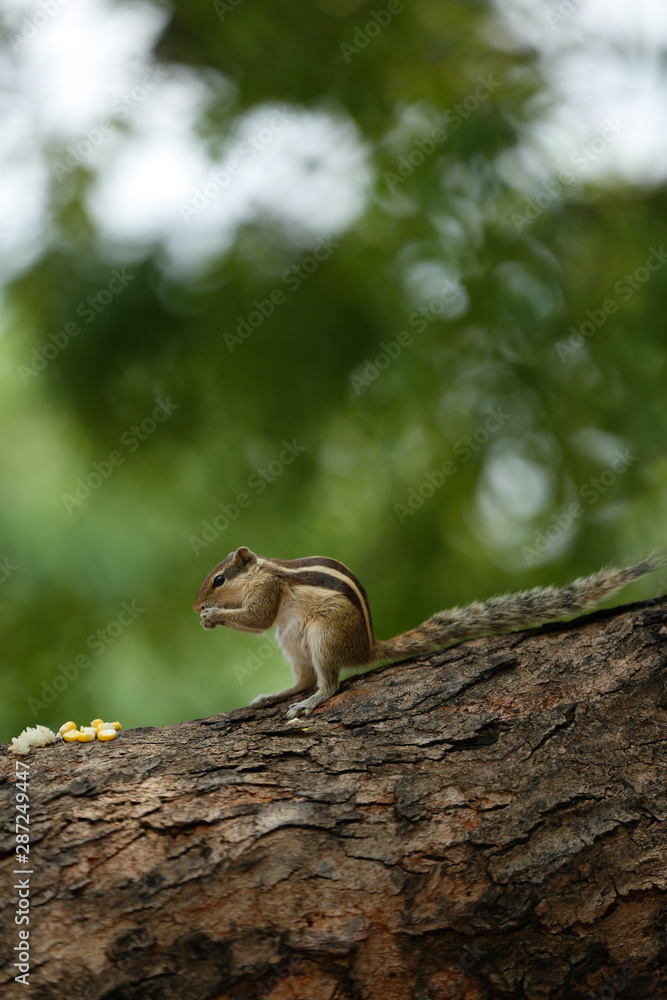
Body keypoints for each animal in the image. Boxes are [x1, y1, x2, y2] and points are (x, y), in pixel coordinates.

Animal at [193, 547, 666, 719]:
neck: (264, 570)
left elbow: (257, 617)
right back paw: (276, 695)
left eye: (218, 579)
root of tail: (366, 646)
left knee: (327, 684)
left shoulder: (268, 591)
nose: (196, 605)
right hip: (293, 643)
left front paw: (215, 615)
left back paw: (310, 702)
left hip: (324, 636)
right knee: (303, 678)